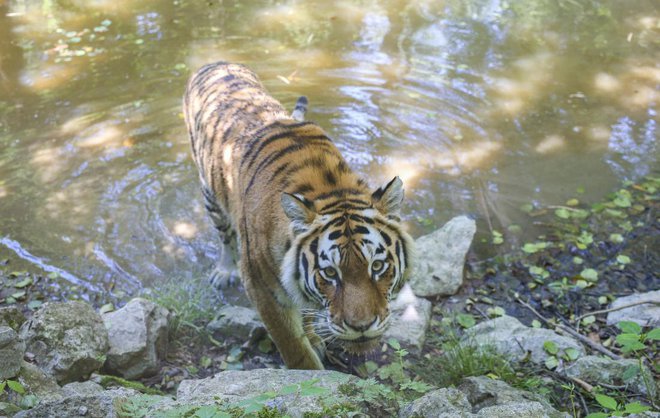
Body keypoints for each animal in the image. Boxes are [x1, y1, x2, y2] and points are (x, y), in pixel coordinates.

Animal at [183, 62, 416, 370]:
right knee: (225, 237)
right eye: (330, 273)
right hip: (210, 194)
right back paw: (224, 270)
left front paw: (315, 337)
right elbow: (295, 349)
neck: (331, 189)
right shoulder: (261, 289)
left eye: (377, 266)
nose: (362, 326)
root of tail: (215, 62)